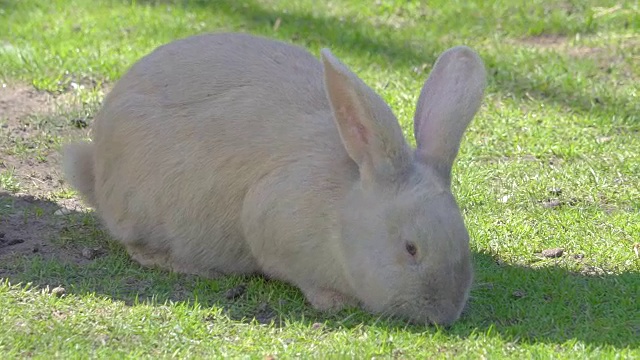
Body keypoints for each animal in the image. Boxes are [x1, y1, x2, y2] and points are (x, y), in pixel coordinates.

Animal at [63, 32, 484, 324]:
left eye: (463, 240)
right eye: (411, 249)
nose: (443, 314)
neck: (341, 212)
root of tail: (94, 164)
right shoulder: (272, 220)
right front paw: (334, 301)